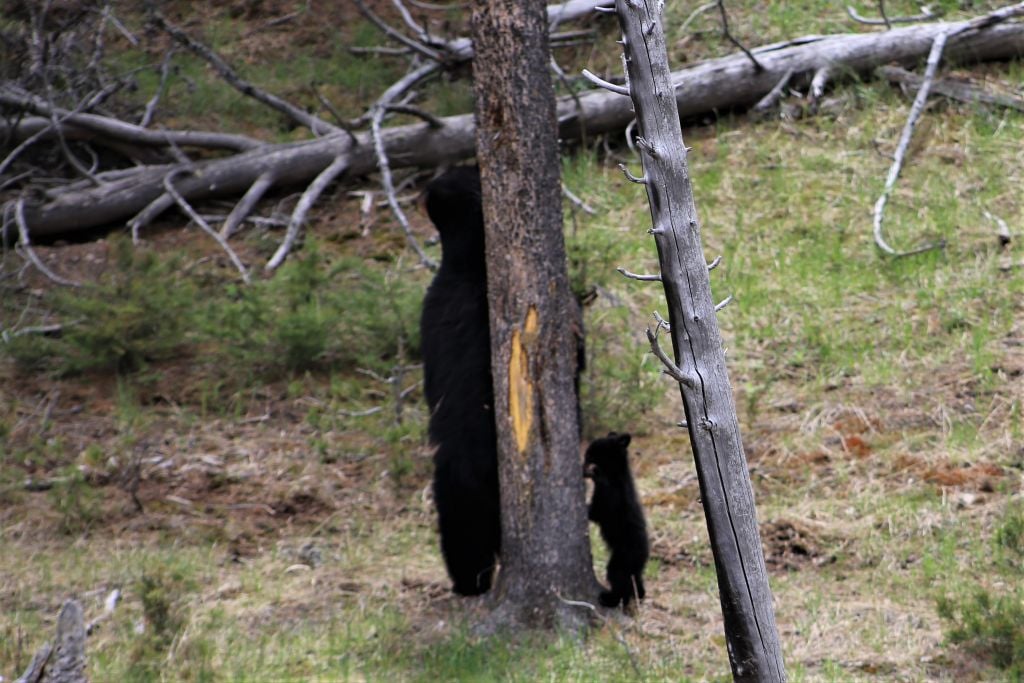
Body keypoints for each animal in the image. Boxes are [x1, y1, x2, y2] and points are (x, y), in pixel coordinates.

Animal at [585, 432, 647, 610]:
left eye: (591, 453)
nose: (585, 457)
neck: (616, 474)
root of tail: (645, 554)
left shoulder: (609, 496)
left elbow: (595, 511)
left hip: (622, 558)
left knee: (618, 578)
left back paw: (609, 599)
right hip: (631, 565)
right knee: (635, 582)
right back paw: (638, 596)